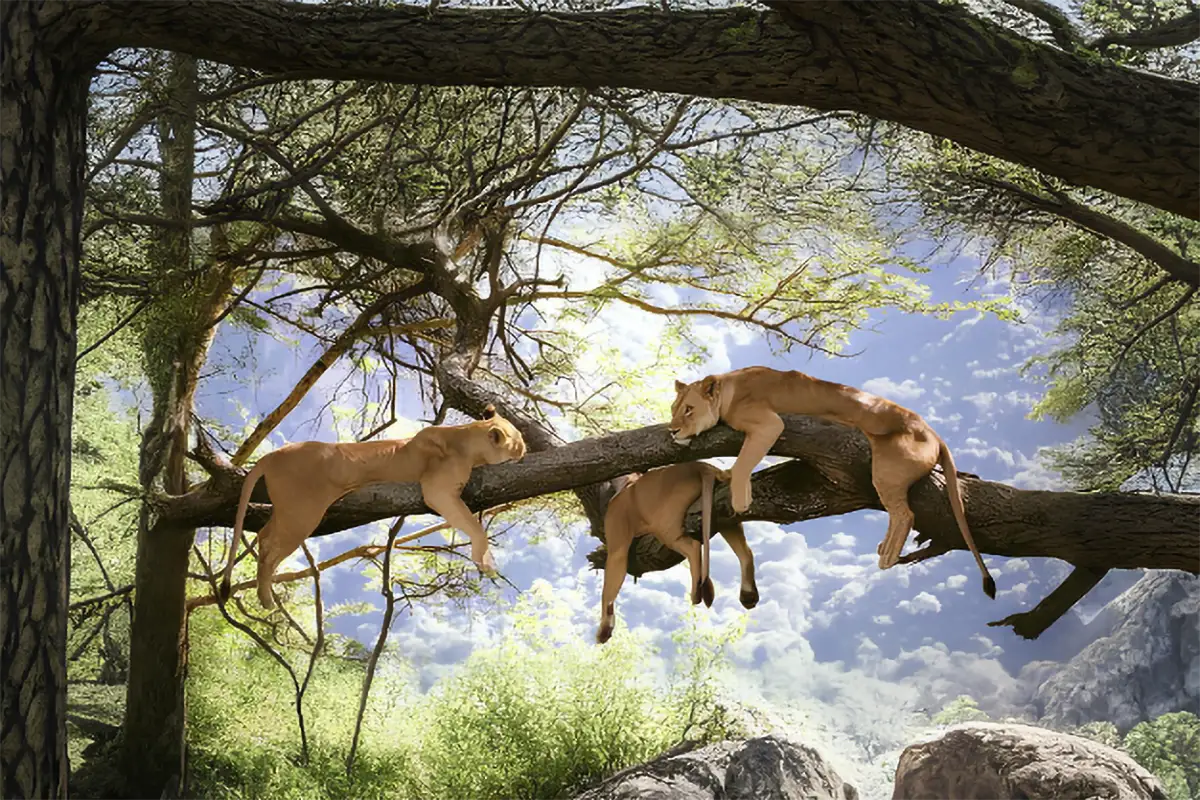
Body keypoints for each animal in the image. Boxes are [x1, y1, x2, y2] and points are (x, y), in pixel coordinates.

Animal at [219, 405, 527, 608]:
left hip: (288, 511)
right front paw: (485, 561)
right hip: (302, 514)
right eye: (519, 440)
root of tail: (272, 455)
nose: (525, 450)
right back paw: (266, 598)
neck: (466, 438)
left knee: (263, 535)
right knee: (269, 546)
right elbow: (474, 526)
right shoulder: (437, 490)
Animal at [597, 461, 759, 644]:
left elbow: (607, 591)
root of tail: (702, 466)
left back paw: (696, 593)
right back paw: (748, 595)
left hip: (666, 525)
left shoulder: (617, 547)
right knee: (745, 551)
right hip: (723, 511)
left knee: (694, 547)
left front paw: (604, 629)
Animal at [669, 366, 996, 599]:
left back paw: (887, 557)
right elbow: (741, 463)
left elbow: (743, 461)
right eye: (674, 409)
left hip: (886, 467)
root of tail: (934, 433)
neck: (729, 388)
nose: (672, 430)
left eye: (689, 409)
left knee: (905, 513)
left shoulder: (769, 423)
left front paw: (739, 498)